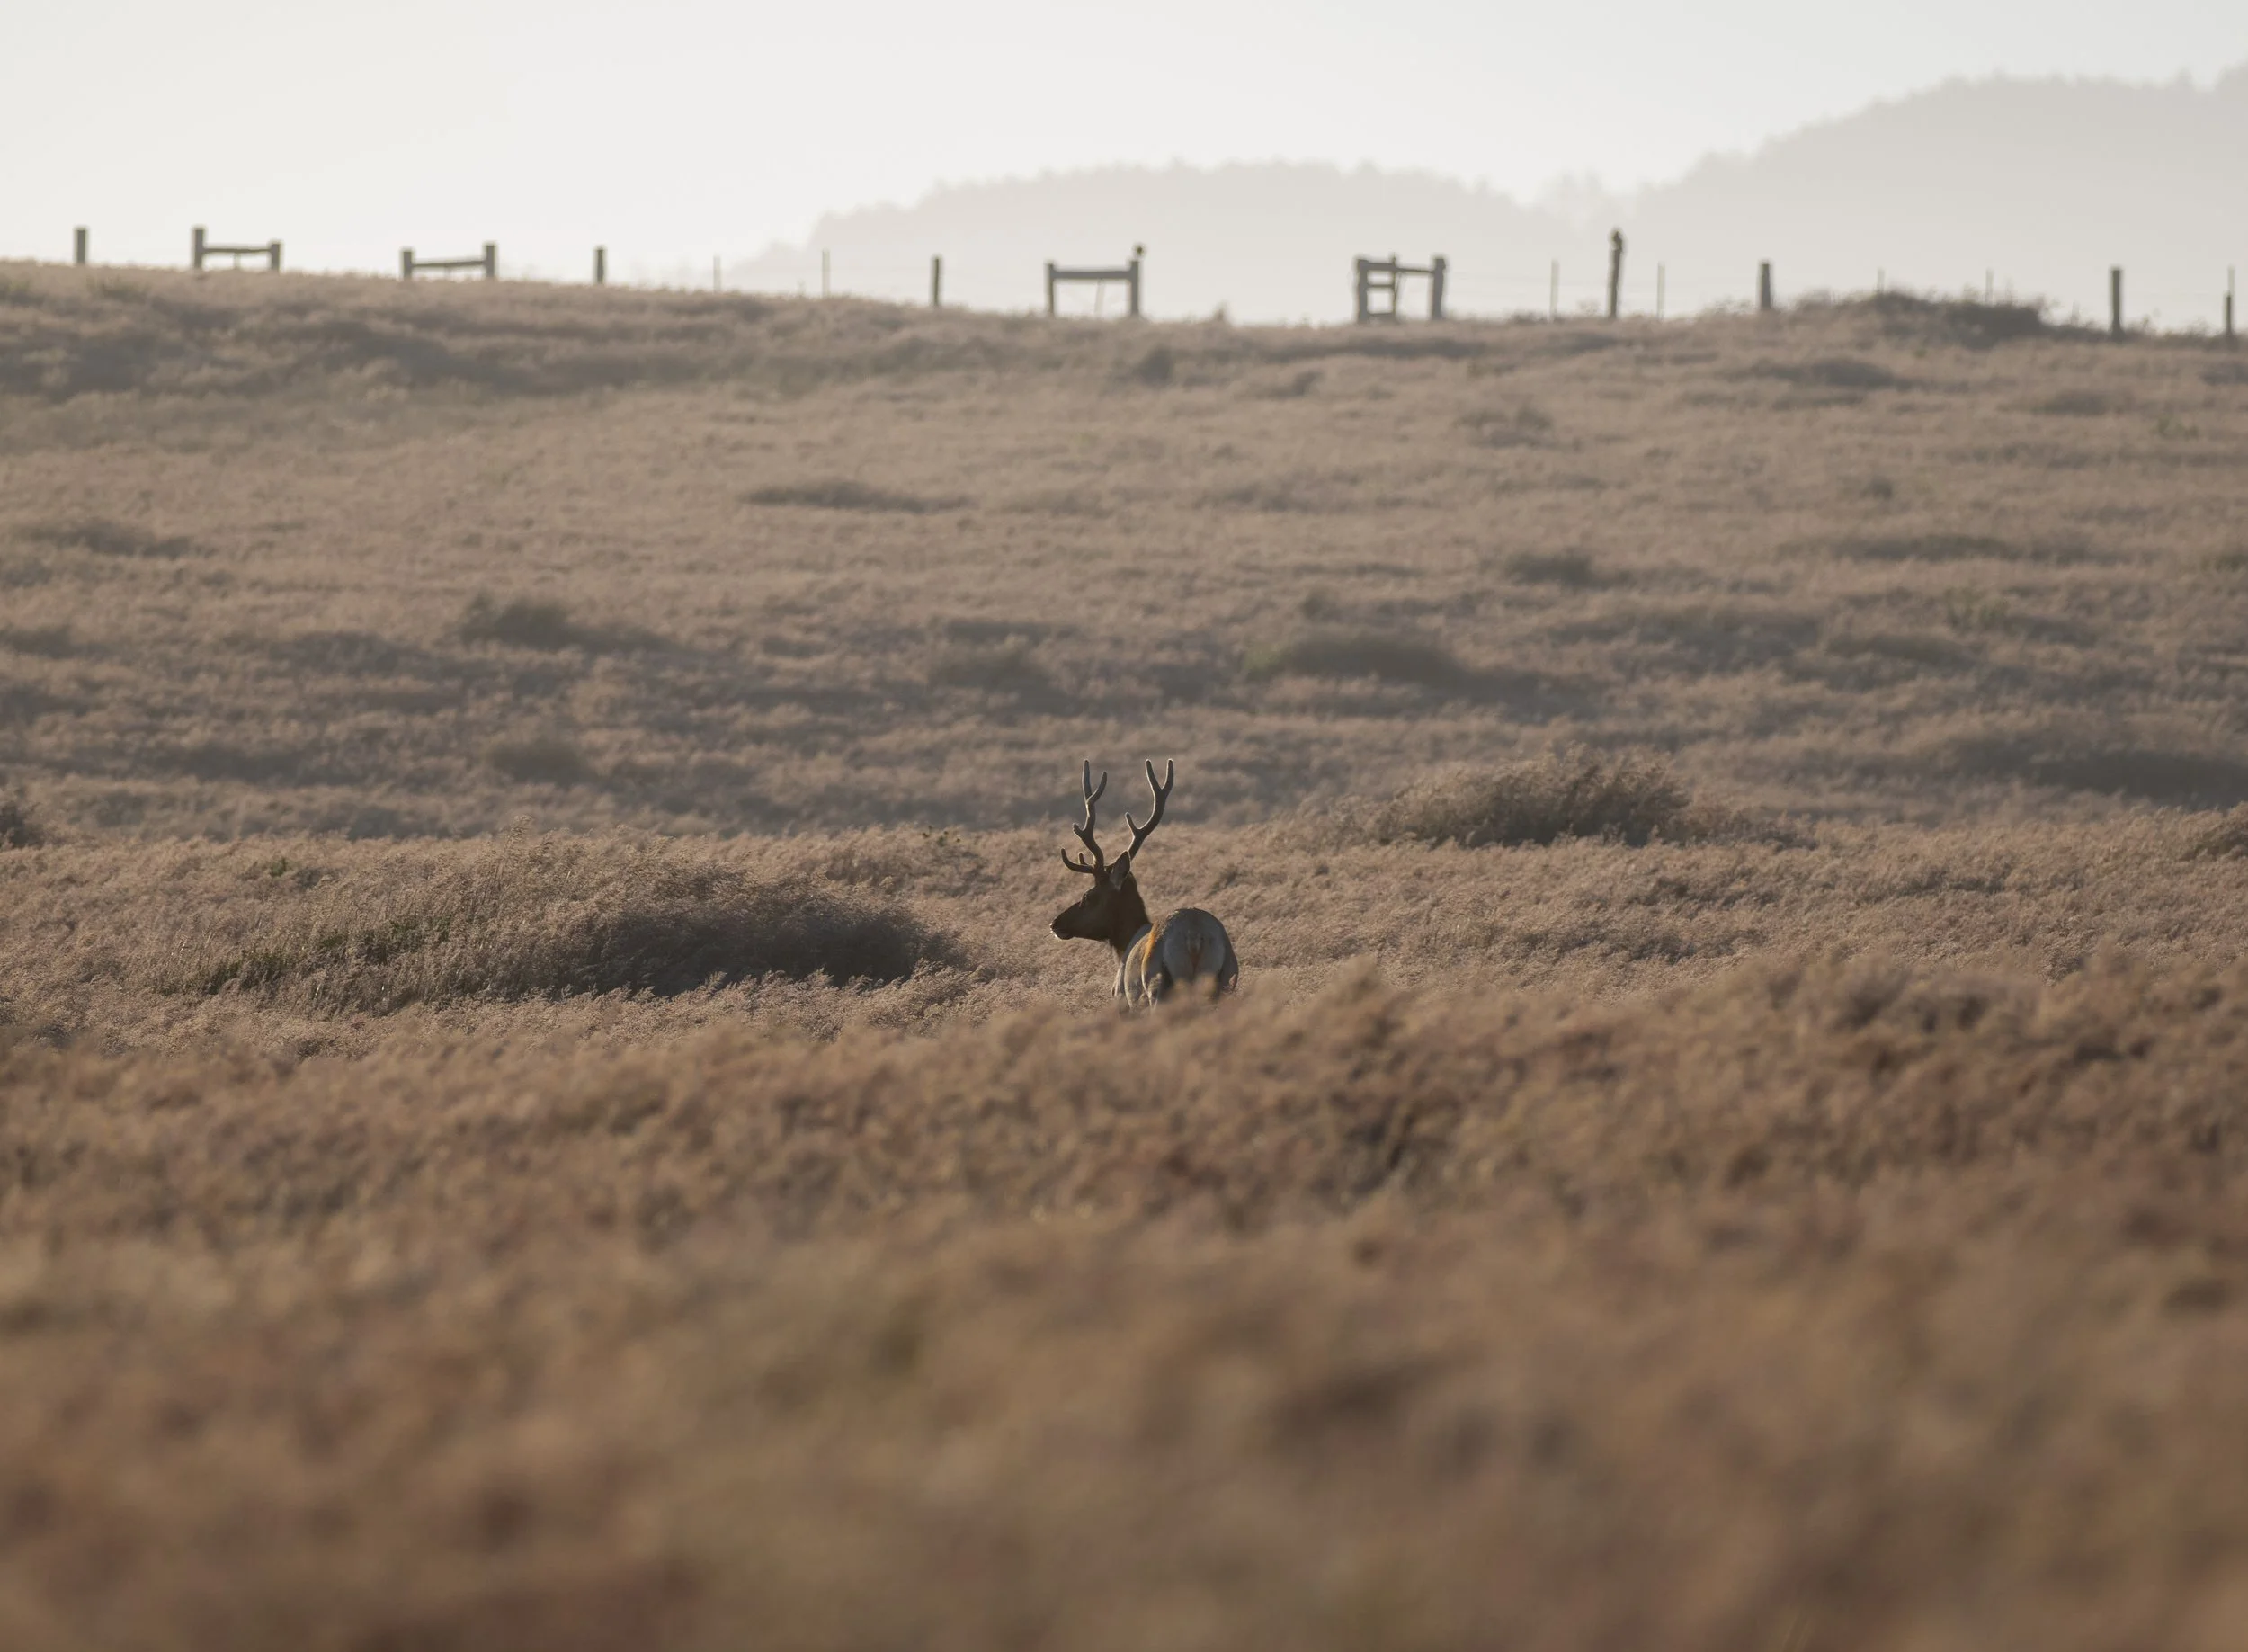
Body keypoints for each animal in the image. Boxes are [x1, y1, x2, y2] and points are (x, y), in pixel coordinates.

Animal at [1050, 759, 1239, 1006]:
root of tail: (1194, 935)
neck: (1124, 945)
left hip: (1155, 984)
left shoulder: (1121, 997)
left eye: (1087, 896)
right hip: (1226, 980)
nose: (1054, 924)